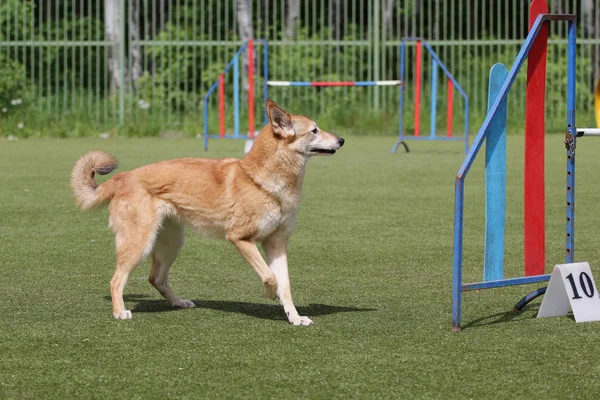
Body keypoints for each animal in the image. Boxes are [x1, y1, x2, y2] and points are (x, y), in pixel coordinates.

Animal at [69, 99, 346, 324]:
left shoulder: (276, 244)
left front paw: (295, 317)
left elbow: (286, 286)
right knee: (116, 280)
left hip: (171, 243)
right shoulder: (240, 238)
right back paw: (120, 311)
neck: (261, 179)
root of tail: (123, 178)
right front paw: (270, 293)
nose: (342, 140)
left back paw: (179, 302)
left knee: (156, 278)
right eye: (314, 130)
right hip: (140, 243)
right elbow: (270, 277)